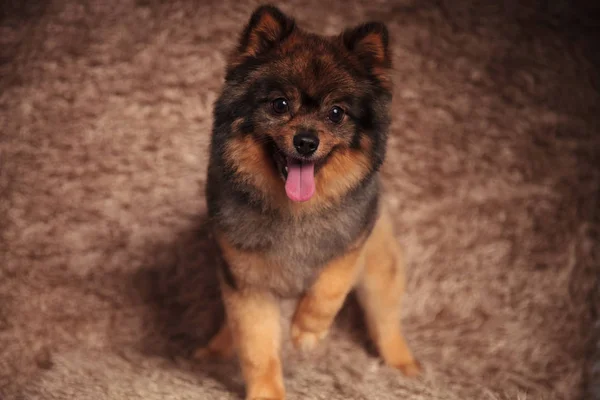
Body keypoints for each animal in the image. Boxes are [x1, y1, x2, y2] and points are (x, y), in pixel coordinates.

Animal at [197, 3, 422, 400]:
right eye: (279, 104)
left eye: (336, 113)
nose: (305, 141)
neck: (295, 213)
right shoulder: (247, 282)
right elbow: (256, 347)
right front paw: (266, 392)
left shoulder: (354, 242)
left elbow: (329, 287)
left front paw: (307, 331)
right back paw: (217, 348)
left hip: (380, 272)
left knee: (385, 321)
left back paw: (402, 365)